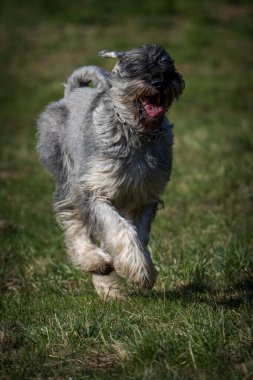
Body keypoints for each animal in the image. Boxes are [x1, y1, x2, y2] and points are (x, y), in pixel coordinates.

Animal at [37, 44, 184, 298]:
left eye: (168, 66)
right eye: (133, 66)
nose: (159, 82)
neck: (136, 133)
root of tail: (71, 93)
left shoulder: (145, 197)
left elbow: (136, 234)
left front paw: (140, 267)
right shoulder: (96, 191)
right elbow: (119, 229)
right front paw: (140, 270)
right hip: (69, 182)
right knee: (74, 223)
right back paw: (97, 266)